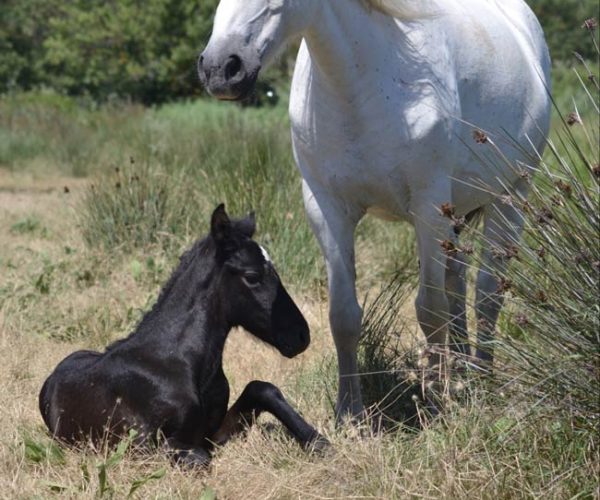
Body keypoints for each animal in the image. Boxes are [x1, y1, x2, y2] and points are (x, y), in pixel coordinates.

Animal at [39, 203, 328, 464]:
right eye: (252, 276)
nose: (301, 336)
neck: (176, 360)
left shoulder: (211, 434)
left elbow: (261, 388)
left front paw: (318, 442)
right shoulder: (149, 447)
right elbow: (202, 459)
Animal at [199, 0, 552, 420]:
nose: (221, 68)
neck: (362, 81)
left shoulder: (429, 208)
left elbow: (429, 310)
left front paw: (434, 403)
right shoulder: (326, 209)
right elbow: (344, 315)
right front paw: (349, 411)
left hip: (509, 197)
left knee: (486, 295)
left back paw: (481, 378)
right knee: (458, 283)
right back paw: (461, 373)